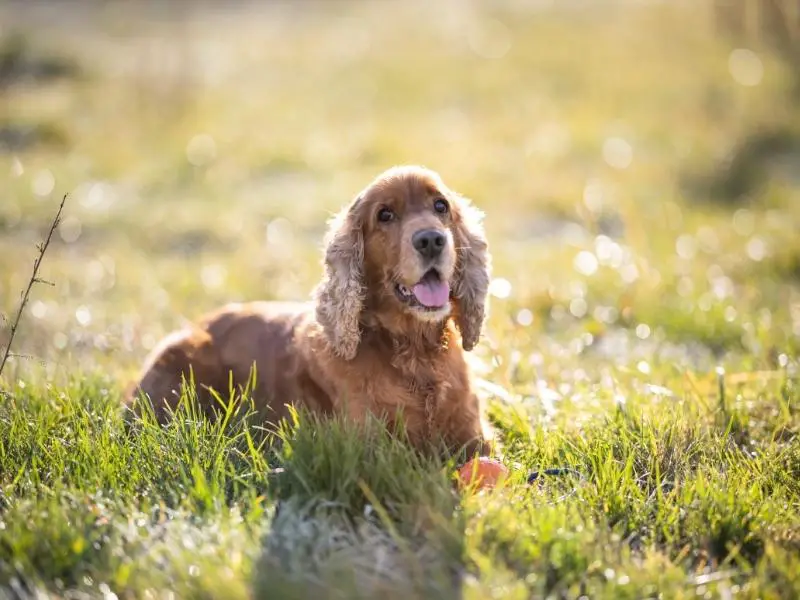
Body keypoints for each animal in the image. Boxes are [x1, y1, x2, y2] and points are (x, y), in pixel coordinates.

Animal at [126, 166, 494, 458]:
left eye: (440, 205)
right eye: (385, 215)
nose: (431, 240)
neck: (415, 352)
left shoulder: (476, 436)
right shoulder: (374, 446)